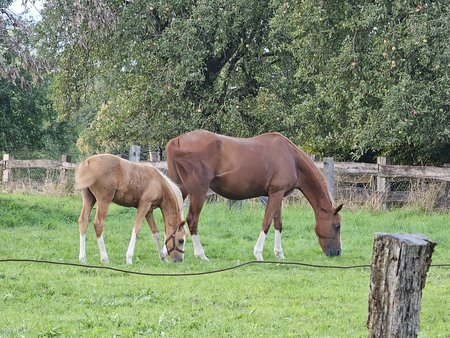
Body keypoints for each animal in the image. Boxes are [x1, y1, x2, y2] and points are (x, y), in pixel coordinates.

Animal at [167, 131, 342, 260]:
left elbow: (278, 224)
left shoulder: (278, 195)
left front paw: (279, 254)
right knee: (192, 220)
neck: (291, 158)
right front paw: (258, 254)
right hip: (198, 191)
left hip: (180, 190)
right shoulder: (276, 193)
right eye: (337, 226)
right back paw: (201, 255)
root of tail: (175, 142)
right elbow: (267, 222)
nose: (338, 253)